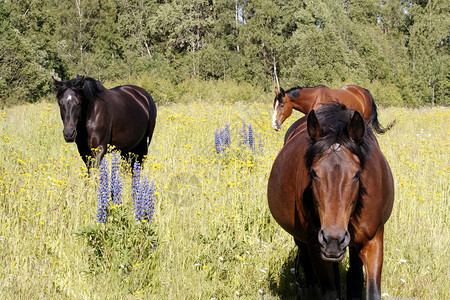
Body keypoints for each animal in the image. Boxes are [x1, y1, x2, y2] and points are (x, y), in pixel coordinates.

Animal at [268, 102, 394, 298]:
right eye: (313, 173)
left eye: (357, 174)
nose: (333, 239)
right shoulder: (316, 246)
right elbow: (329, 290)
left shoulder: (373, 241)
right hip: (303, 240)